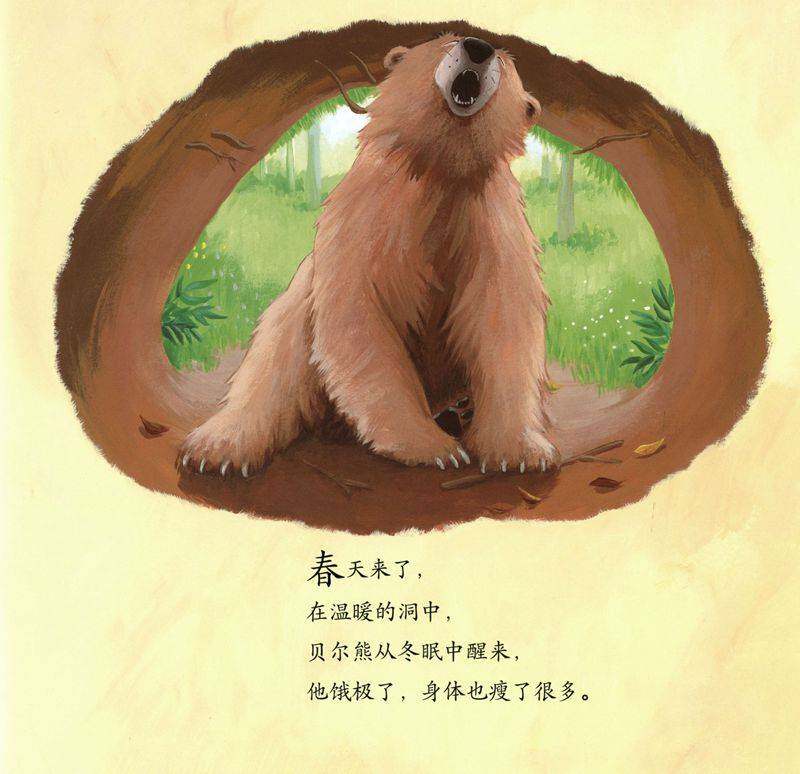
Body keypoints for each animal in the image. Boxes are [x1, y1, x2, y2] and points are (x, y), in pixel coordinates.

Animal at [179, 34, 559, 477]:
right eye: (446, 39)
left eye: (504, 61)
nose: (478, 47)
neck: (441, 169)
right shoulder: (370, 212)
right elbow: (358, 314)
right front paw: (432, 447)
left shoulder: (491, 223)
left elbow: (502, 318)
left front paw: (523, 451)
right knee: (278, 342)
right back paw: (218, 447)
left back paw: (460, 409)